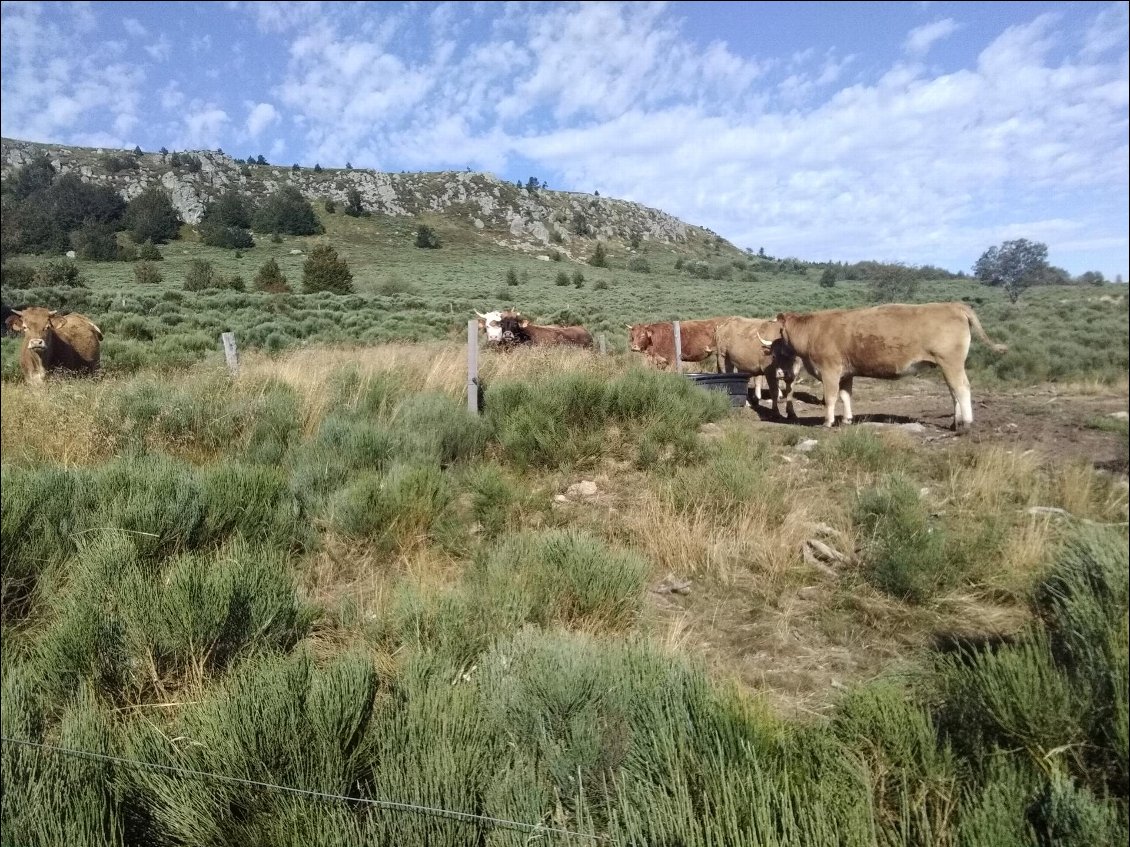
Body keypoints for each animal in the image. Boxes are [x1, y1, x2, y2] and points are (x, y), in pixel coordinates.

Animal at [768, 302, 1007, 433]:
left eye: (779, 330)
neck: (813, 331)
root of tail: (953, 305)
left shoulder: (830, 371)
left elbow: (831, 398)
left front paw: (828, 422)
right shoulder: (846, 373)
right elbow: (846, 396)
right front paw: (847, 420)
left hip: (951, 362)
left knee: (961, 388)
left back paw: (965, 423)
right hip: (946, 364)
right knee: (953, 392)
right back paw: (955, 423)